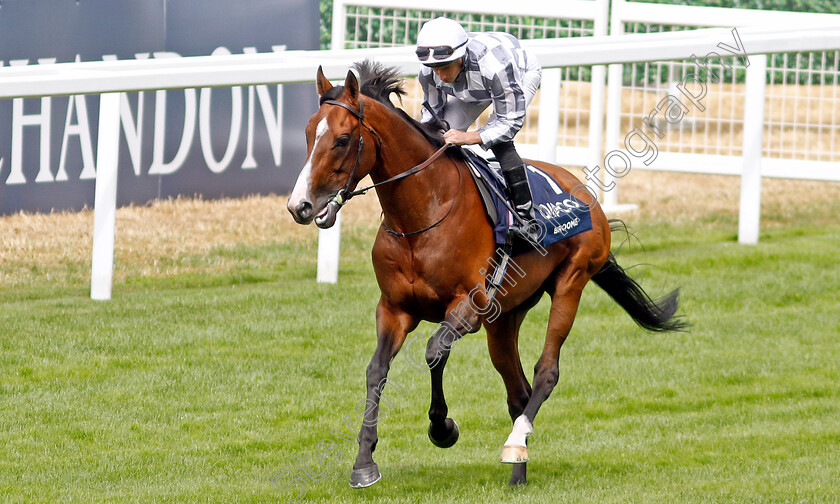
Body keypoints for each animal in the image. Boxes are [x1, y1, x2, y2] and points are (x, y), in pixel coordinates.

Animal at [286, 60, 684, 488]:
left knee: (545, 373)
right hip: (505, 318)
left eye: (343, 139)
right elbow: (376, 370)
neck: (422, 214)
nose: (300, 206)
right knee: (518, 390)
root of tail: (583, 190)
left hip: (571, 281)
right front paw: (364, 462)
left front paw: (443, 428)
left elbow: (433, 351)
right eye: (308, 133)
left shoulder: (469, 305)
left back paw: (515, 444)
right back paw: (518, 472)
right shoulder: (394, 308)